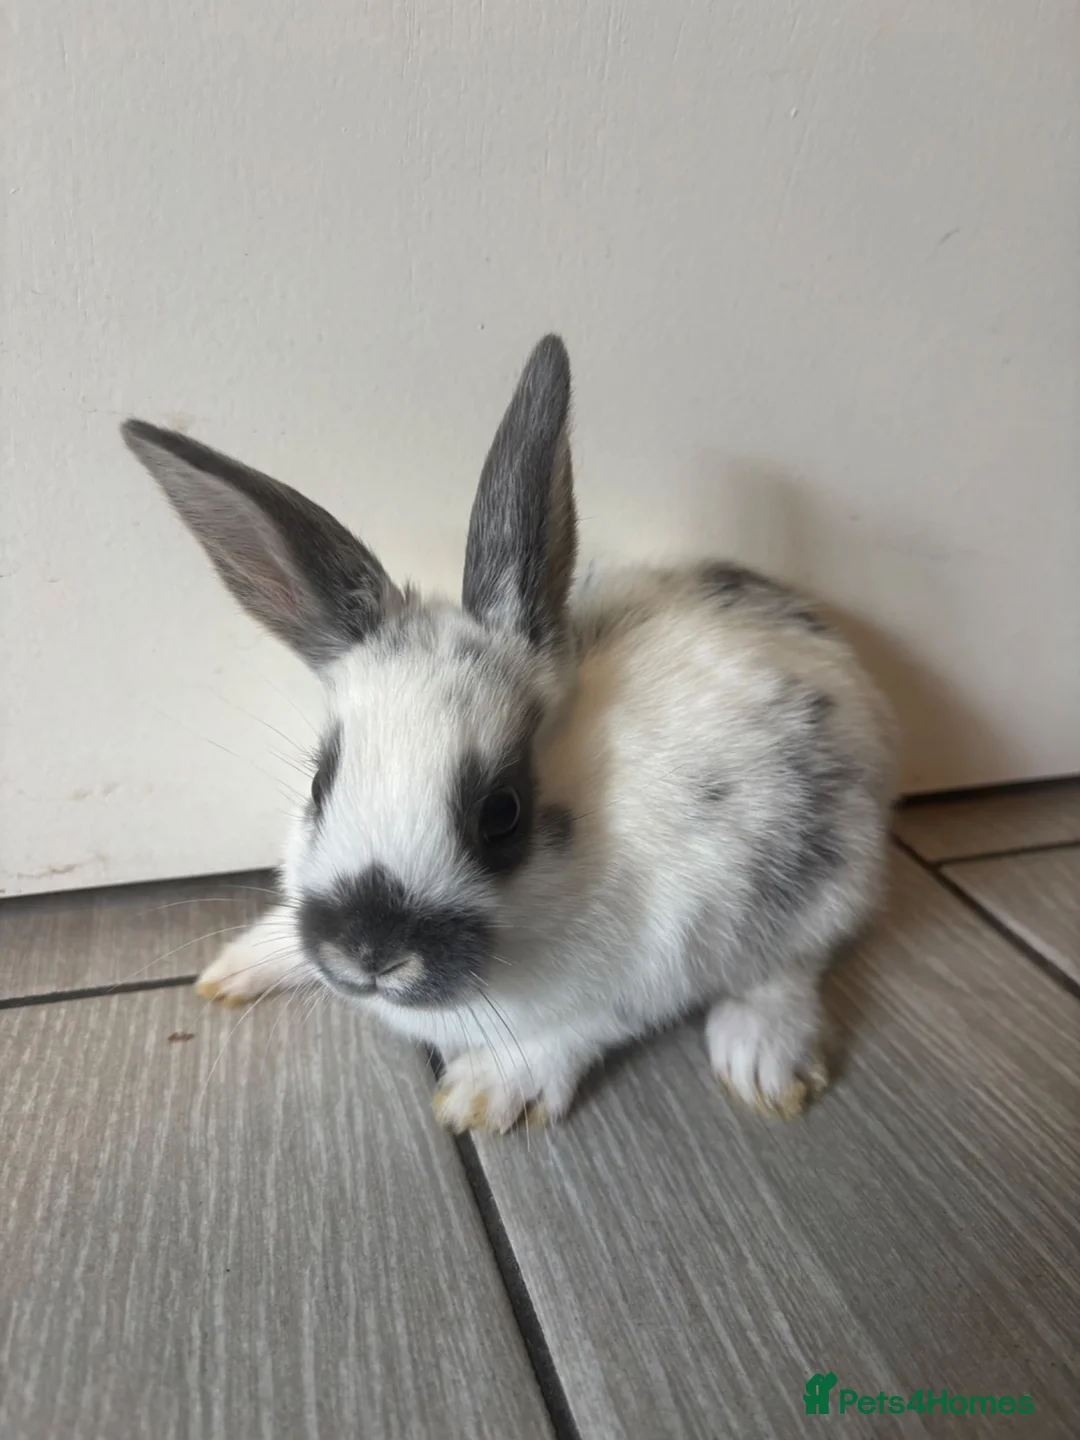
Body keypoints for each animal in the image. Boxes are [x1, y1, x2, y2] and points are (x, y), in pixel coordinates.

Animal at [121, 335, 894, 1133]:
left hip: (821, 874)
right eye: (317, 784)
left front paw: (486, 1093)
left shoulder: (650, 967)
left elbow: (578, 1030)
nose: (367, 952)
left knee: (794, 963)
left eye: (502, 813)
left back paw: (761, 1060)